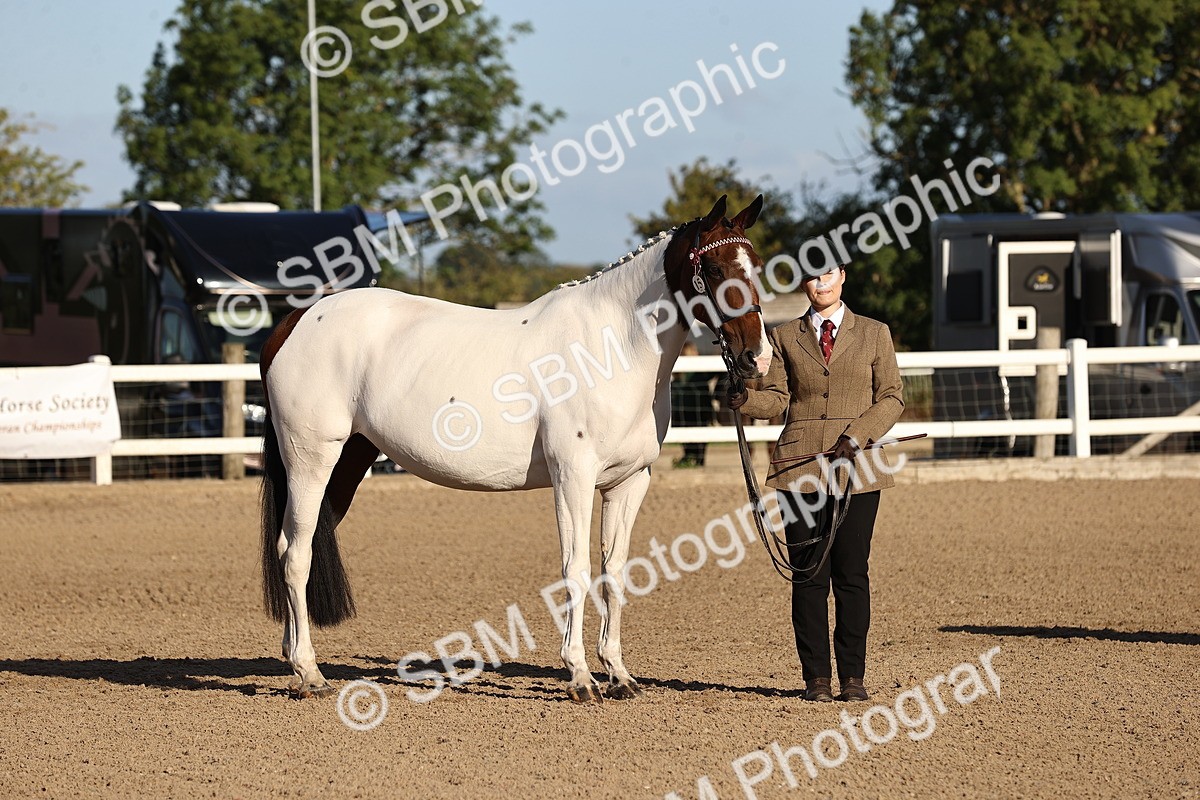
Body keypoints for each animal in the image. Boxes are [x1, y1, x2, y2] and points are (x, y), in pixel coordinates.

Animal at [259, 194, 771, 702]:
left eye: (756, 266)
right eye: (715, 267)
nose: (757, 358)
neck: (611, 350)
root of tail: (296, 320)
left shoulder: (628, 482)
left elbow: (615, 571)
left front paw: (619, 675)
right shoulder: (573, 476)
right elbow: (576, 569)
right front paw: (581, 677)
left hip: (349, 461)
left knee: (295, 547)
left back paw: (294, 661)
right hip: (311, 460)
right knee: (296, 554)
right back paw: (311, 673)